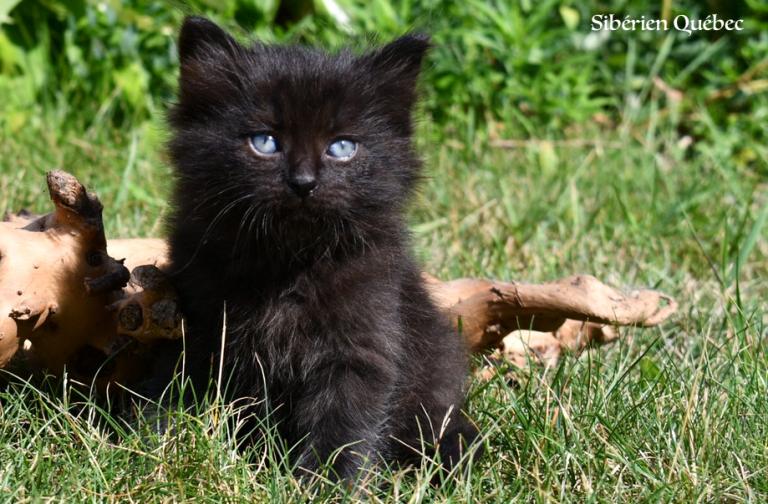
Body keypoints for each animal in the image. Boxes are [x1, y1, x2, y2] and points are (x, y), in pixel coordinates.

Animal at [161, 16, 476, 480]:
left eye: (342, 147)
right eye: (265, 141)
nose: (304, 182)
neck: (288, 265)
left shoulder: (361, 345)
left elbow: (342, 426)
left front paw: (325, 483)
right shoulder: (203, 327)